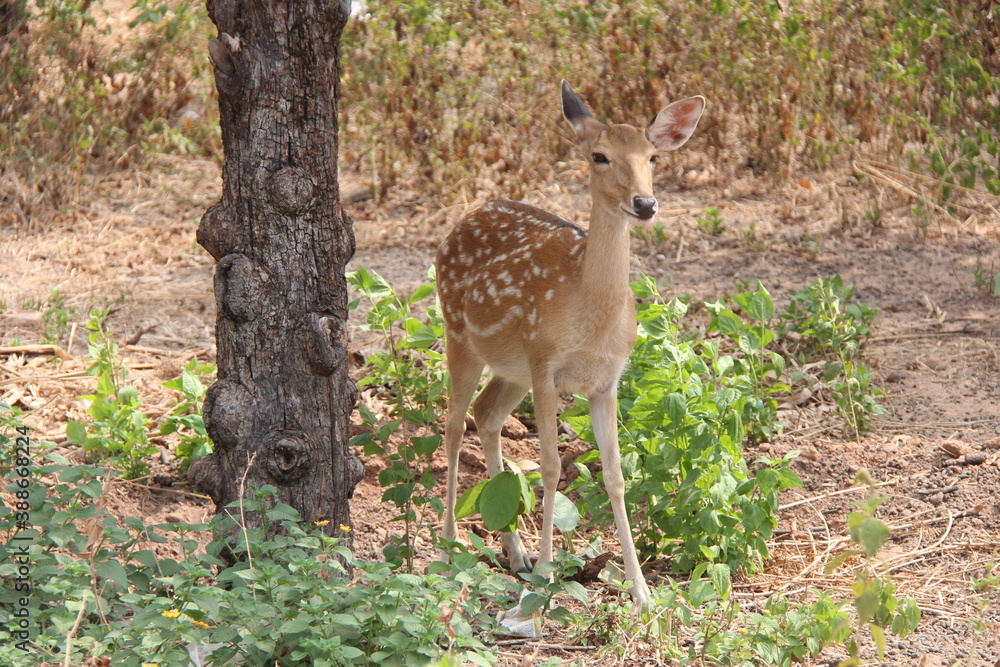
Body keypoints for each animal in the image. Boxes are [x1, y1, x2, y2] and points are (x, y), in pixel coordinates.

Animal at [435, 81, 705, 609]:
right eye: (599, 156)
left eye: (653, 157)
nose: (645, 204)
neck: (590, 317)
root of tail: (465, 215)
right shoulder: (546, 365)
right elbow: (551, 465)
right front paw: (546, 574)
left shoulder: (607, 380)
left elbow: (616, 476)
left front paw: (642, 591)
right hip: (461, 335)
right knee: (454, 425)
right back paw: (454, 541)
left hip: (511, 367)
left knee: (486, 414)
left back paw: (514, 553)